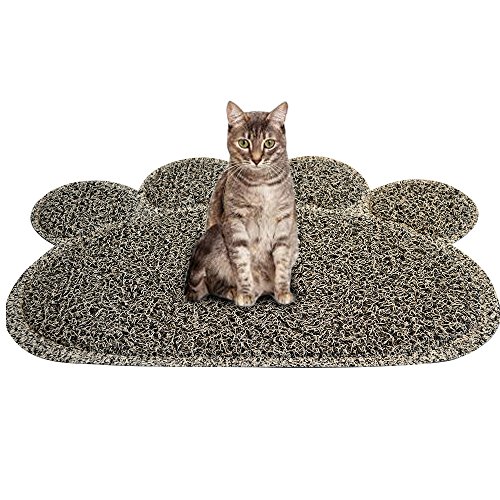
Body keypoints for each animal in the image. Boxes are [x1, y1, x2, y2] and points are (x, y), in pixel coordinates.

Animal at [184, 101, 299, 307]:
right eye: (244, 143)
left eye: (269, 143)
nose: (256, 159)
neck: (261, 185)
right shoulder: (235, 221)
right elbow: (242, 263)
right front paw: (245, 293)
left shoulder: (284, 222)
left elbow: (282, 262)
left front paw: (283, 292)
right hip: (216, 237)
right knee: (213, 285)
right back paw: (236, 292)